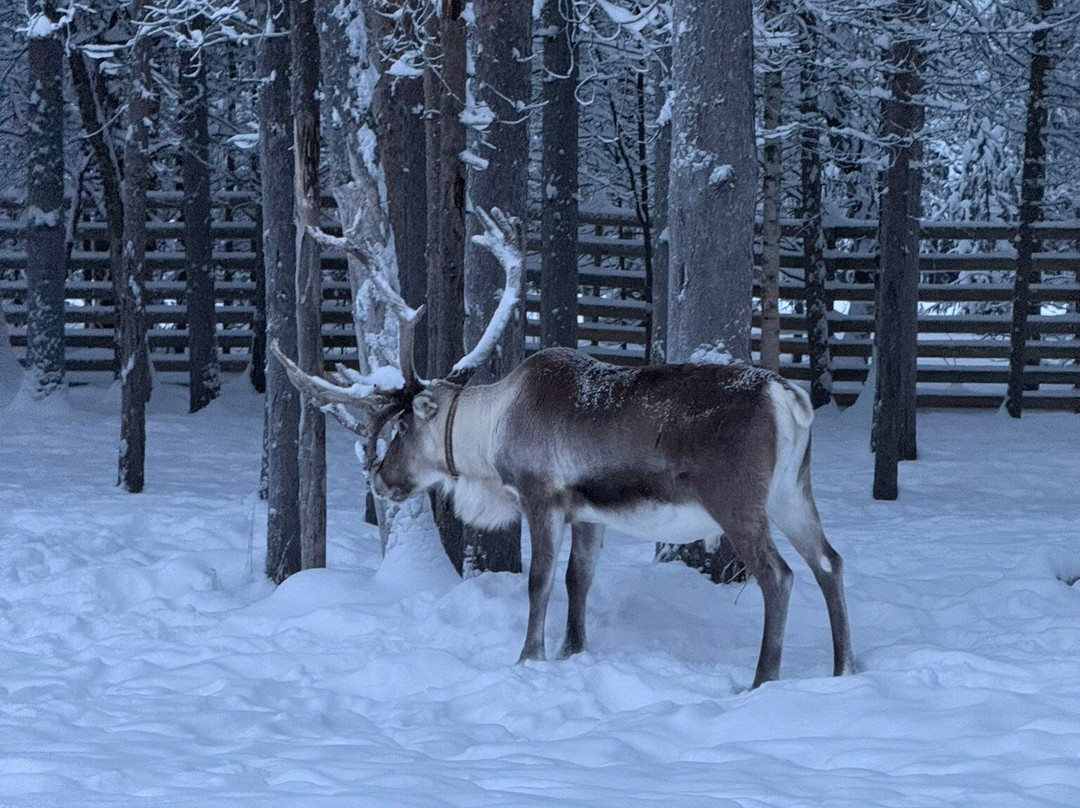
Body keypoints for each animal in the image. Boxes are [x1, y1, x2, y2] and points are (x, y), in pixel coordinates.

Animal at [272, 207, 856, 689]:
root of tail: (789, 397)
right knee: (829, 560)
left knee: (779, 576)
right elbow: (580, 580)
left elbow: (540, 582)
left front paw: (529, 656)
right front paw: (574, 651)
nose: (378, 478)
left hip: (737, 500)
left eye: (400, 430)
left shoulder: (541, 497)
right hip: (792, 491)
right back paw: (844, 667)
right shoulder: (589, 512)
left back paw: (763, 680)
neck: (491, 434)